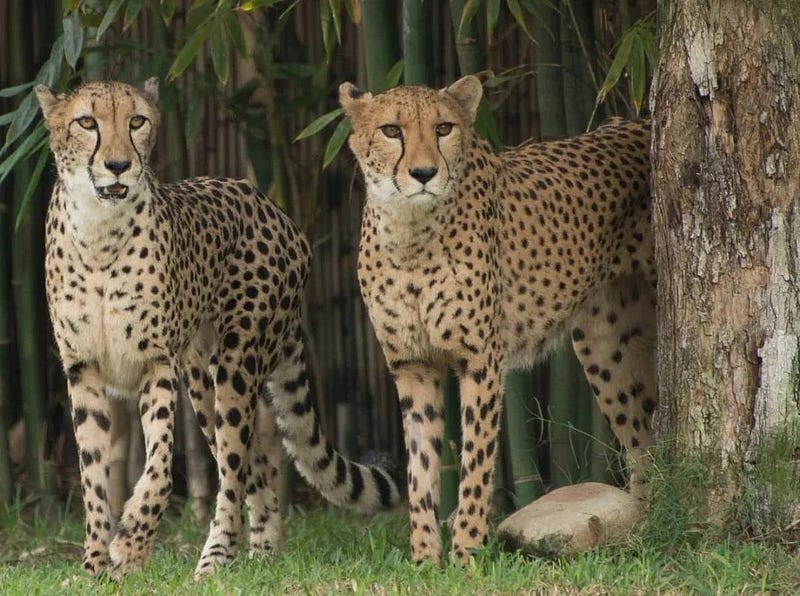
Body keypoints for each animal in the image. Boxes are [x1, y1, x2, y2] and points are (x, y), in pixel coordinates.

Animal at [36, 79, 400, 576]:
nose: (118, 165)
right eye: (86, 122)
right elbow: (92, 474)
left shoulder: (157, 365)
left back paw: (214, 561)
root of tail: (272, 206)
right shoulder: (84, 371)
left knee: (235, 466)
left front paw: (130, 545)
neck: (99, 231)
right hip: (200, 379)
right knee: (256, 463)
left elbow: (160, 468)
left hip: (234, 364)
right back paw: (262, 555)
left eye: (137, 121)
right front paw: (93, 561)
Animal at [340, 75, 656, 564]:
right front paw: (424, 557)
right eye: (392, 130)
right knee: (643, 444)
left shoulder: (481, 361)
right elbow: (421, 467)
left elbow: (475, 459)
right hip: (606, 348)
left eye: (444, 128)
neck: (410, 232)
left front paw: (467, 551)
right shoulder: (413, 366)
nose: (424, 174)